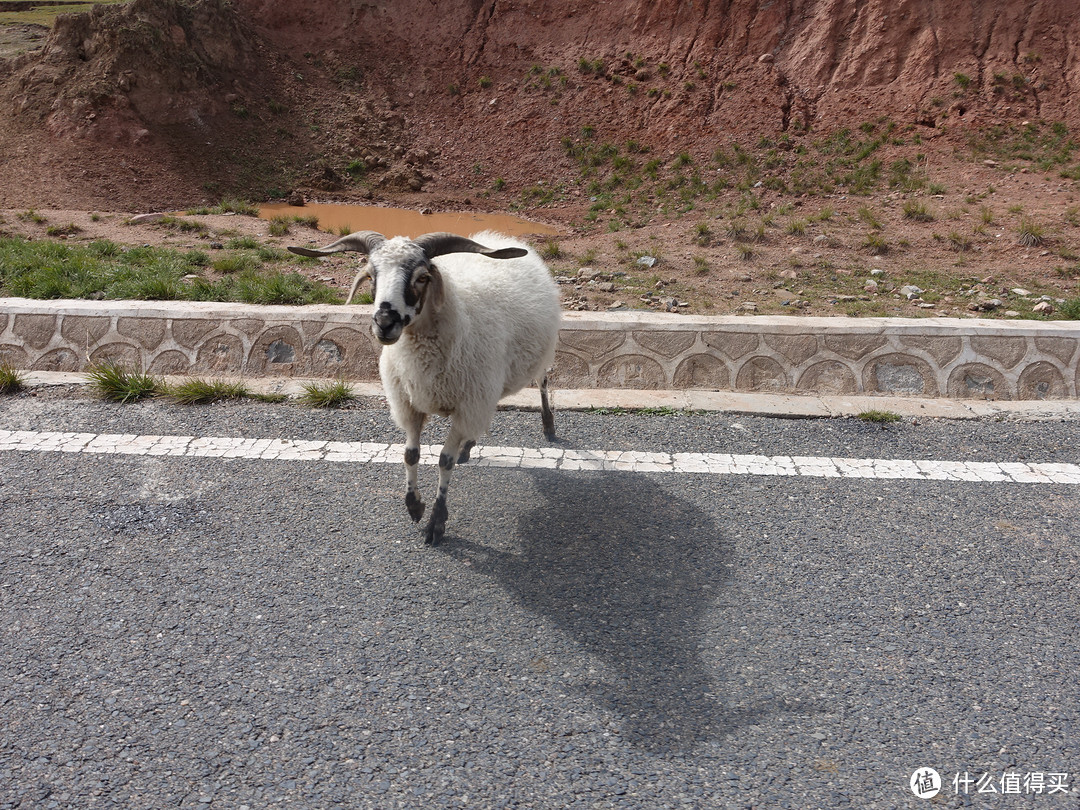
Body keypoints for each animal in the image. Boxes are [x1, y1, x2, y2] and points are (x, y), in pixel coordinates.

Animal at [289, 231, 557, 548]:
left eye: (422, 277)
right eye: (372, 275)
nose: (384, 322)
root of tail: (497, 237)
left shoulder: (466, 406)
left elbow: (444, 461)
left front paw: (436, 522)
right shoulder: (410, 403)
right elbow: (410, 455)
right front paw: (414, 506)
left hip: (534, 360)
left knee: (542, 383)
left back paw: (548, 426)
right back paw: (469, 446)